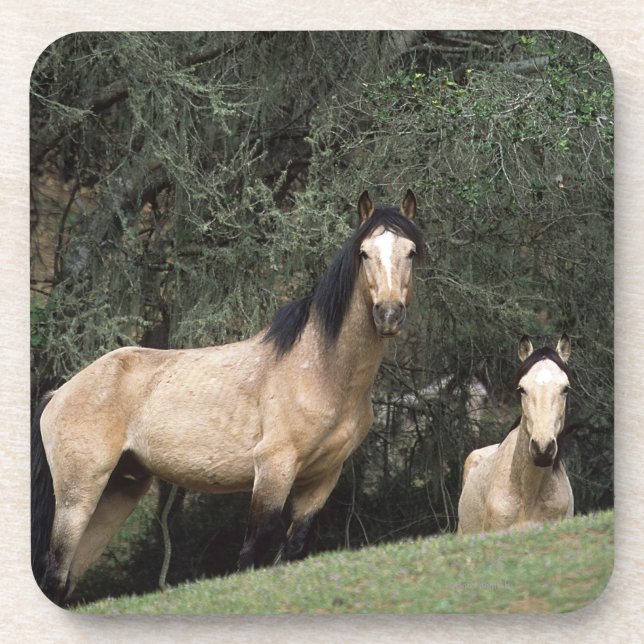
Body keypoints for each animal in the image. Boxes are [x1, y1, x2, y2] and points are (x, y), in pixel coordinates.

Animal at [31, 189, 425, 604]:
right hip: (78, 496)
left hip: (116, 493)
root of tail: (59, 393)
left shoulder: (321, 479)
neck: (322, 368)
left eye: (411, 251)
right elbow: (253, 551)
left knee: (65, 578)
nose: (388, 313)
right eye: (364, 253)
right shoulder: (273, 469)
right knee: (55, 572)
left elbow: (292, 550)